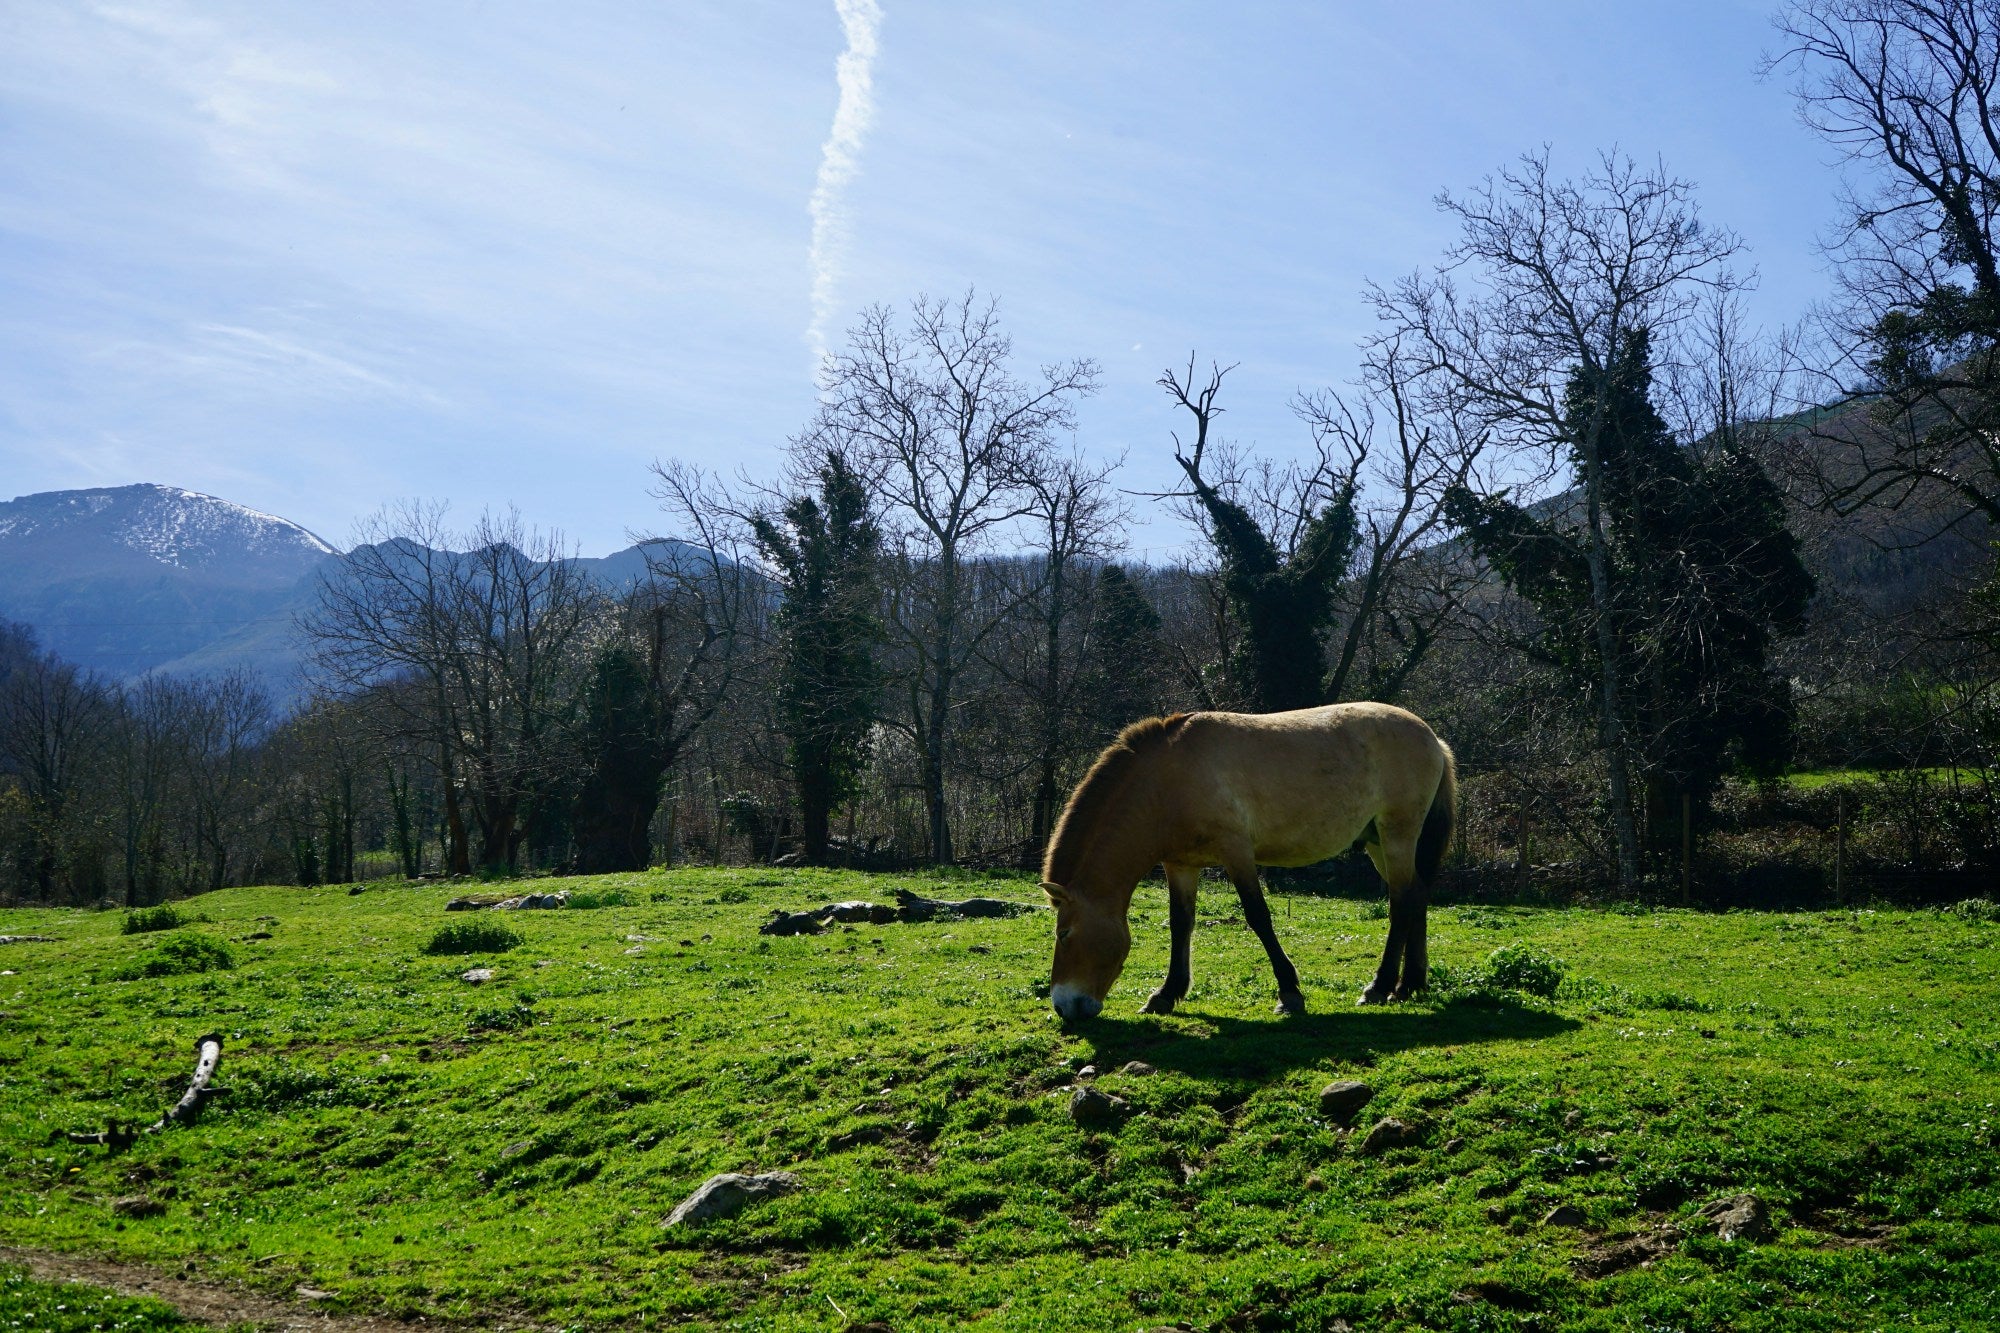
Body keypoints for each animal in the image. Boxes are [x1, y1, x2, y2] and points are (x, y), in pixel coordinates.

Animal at [1048, 700, 1456, 1020]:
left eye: (1064, 934)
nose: (1064, 1006)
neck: (1168, 780)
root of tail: (1432, 739)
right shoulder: (1181, 865)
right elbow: (1181, 923)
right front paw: (1166, 994)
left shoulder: (1237, 854)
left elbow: (1258, 917)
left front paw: (1289, 993)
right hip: (1377, 842)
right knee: (1417, 895)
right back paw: (1410, 984)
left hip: (1397, 834)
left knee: (1402, 902)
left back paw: (1380, 986)